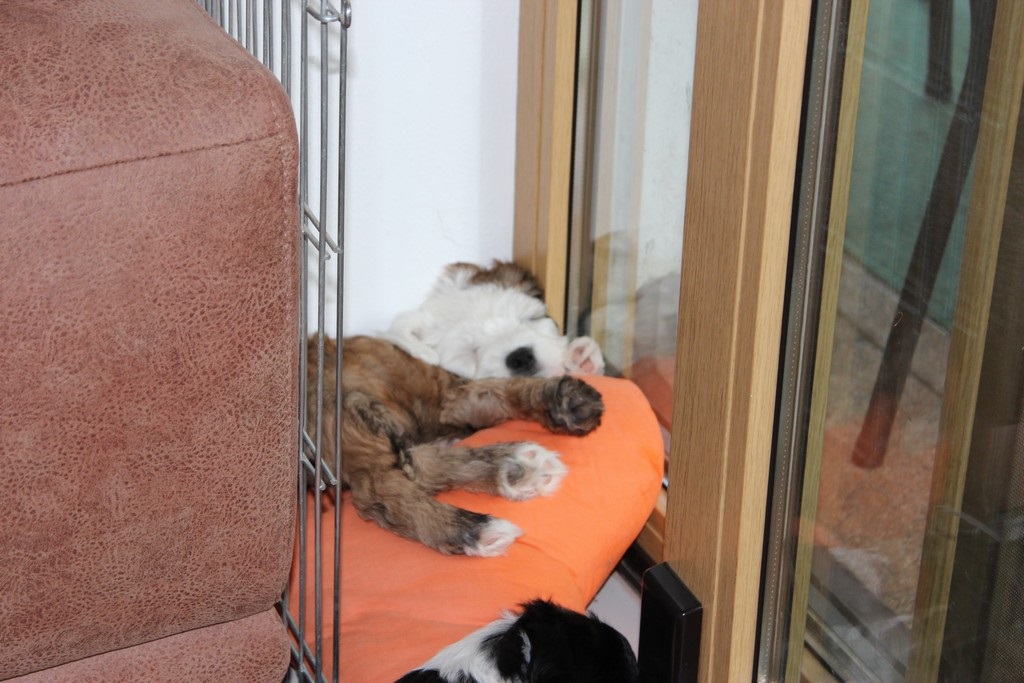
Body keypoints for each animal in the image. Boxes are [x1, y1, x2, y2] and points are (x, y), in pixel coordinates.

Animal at [308, 335, 604, 556]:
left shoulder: (457, 401)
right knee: (382, 488)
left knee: (418, 465)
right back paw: (477, 525)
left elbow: (503, 391)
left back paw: (515, 468)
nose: (522, 357)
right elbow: (503, 385)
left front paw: (572, 392)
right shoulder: (451, 394)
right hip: (351, 408)